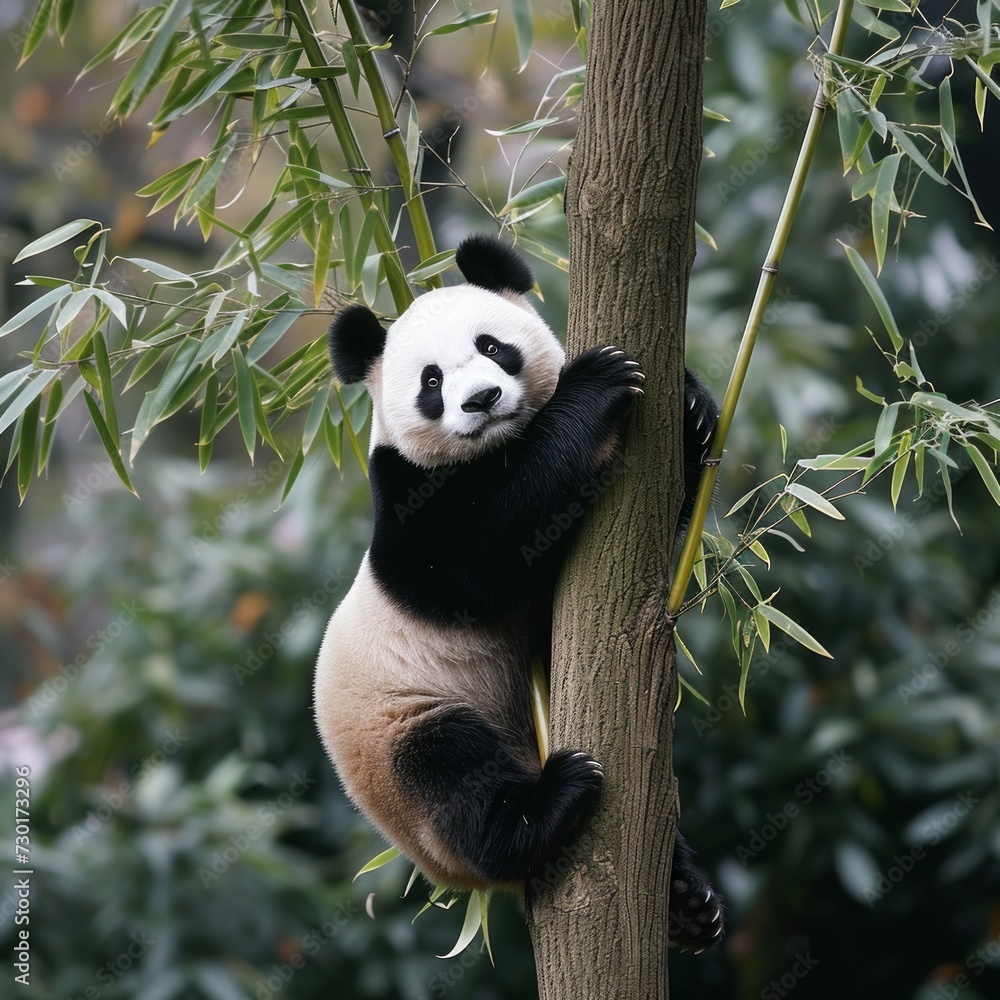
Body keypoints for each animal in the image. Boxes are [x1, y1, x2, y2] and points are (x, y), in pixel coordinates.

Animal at [314, 234, 723, 952]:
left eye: (491, 345)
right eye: (430, 382)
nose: (480, 400)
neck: (495, 448)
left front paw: (692, 411)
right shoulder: (408, 499)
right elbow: (486, 558)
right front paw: (597, 384)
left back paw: (685, 904)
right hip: (399, 735)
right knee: (455, 777)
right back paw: (547, 804)